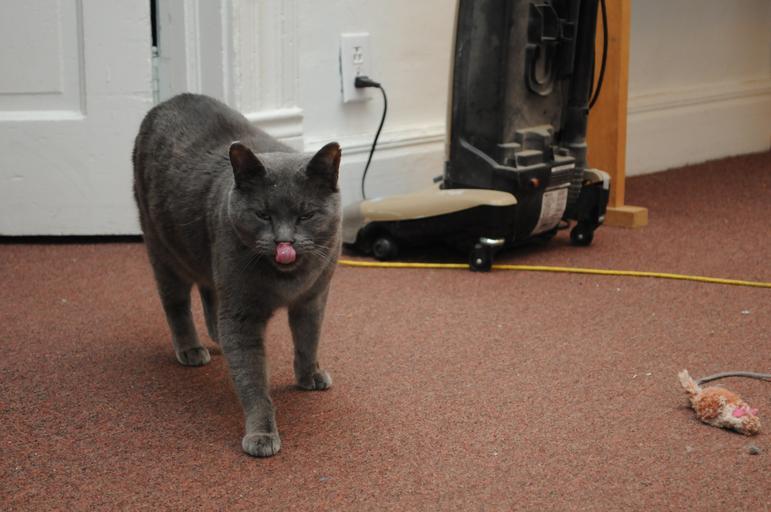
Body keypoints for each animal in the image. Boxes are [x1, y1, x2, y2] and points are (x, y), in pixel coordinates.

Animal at [132, 93, 342, 457]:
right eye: (262, 214)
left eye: (306, 215)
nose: (283, 242)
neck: (289, 281)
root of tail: (169, 101)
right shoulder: (242, 312)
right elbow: (252, 378)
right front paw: (261, 434)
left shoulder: (314, 297)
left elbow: (308, 339)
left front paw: (309, 377)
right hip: (162, 248)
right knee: (176, 303)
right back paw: (191, 349)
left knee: (209, 292)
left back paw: (216, 336)